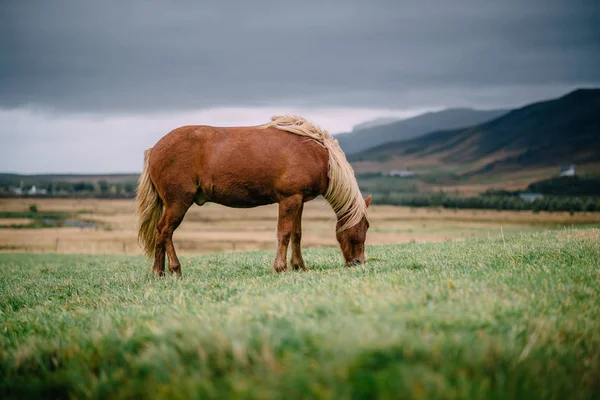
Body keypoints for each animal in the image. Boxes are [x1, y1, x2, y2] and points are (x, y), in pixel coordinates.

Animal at [136, 115, 370, 276]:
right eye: (365, 226)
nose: (359, 262)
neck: (316, 154)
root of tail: (155, 149)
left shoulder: (299, 200)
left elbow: (297, 234)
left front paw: (299, 266)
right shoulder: (289, 200)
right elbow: (284, 233)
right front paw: (280, 267)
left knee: (159, 233)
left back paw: (158, 272)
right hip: (178, 203)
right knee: (165, 231)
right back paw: (175, 269)